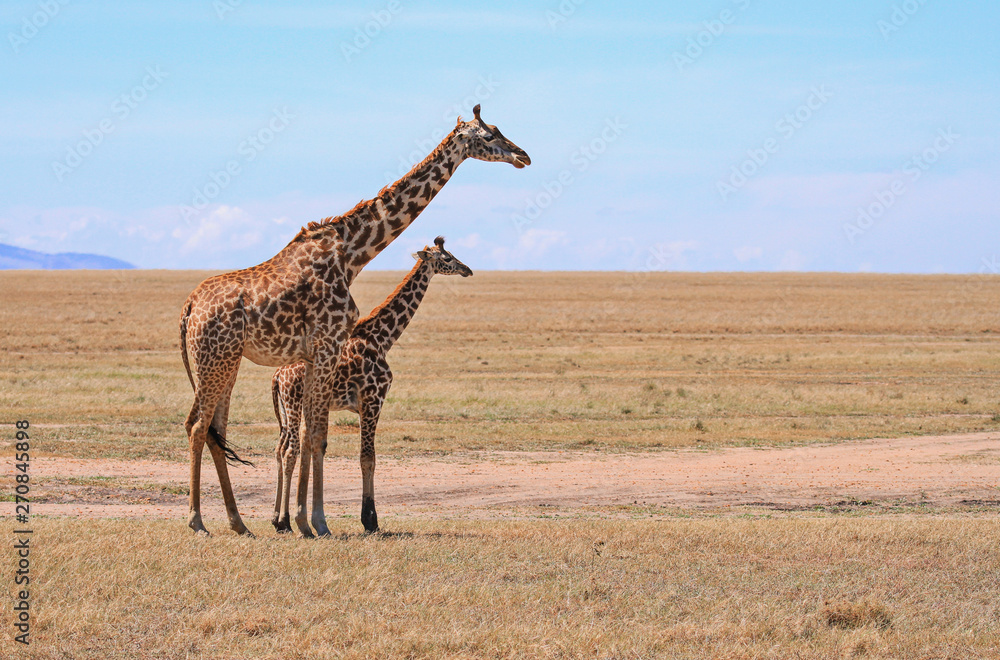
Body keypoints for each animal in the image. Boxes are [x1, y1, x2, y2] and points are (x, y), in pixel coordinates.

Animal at [270, 237, 472, 534]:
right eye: (446, 258)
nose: (467, 269)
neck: (383, 338)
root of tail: (277, 376)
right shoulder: (372, 400)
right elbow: (368, 458)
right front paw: (370, 520)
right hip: (294, 404)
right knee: (290, 451)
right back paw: (286, 521)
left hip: (288, 410)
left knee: (281, 449)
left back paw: (280, 520)